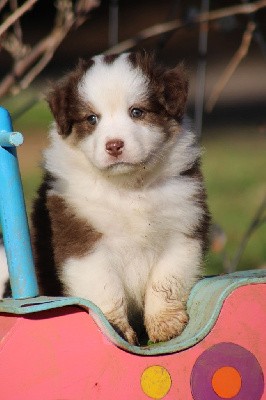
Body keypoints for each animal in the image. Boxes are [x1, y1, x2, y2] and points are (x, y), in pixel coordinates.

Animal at [8, 52, 210, 344]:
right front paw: (116, 329)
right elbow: (105, 289)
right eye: (92, 119)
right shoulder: (83, 241)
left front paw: (165, 324)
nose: (114, 146)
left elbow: (166, 280)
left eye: (137, 112)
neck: (128, 187)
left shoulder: (182, 227)